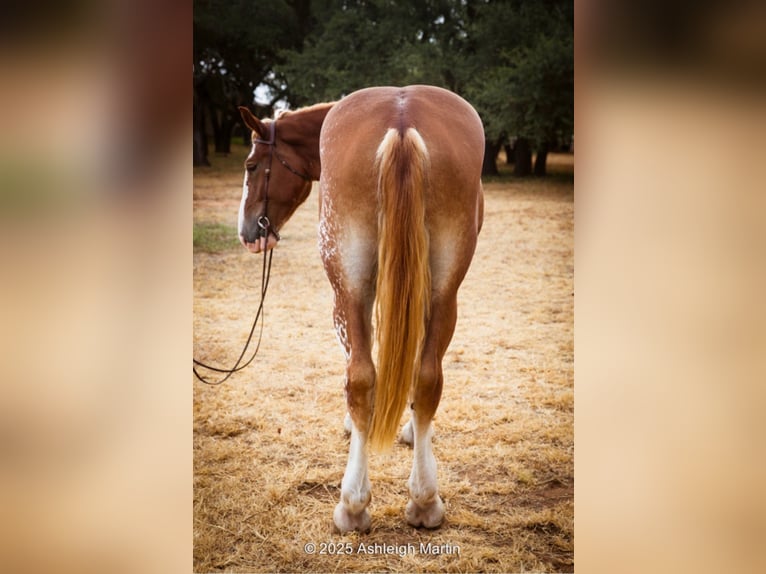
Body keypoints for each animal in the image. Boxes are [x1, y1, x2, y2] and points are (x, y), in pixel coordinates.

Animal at [238, 85, 484, 533]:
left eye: (251, 165)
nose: (247, 232)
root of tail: (402, 122)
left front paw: (357, 426)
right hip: (444, 290)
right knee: (427, 376)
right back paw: (425, 500)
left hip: (347, 287)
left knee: (360, 378)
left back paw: (353, 504)